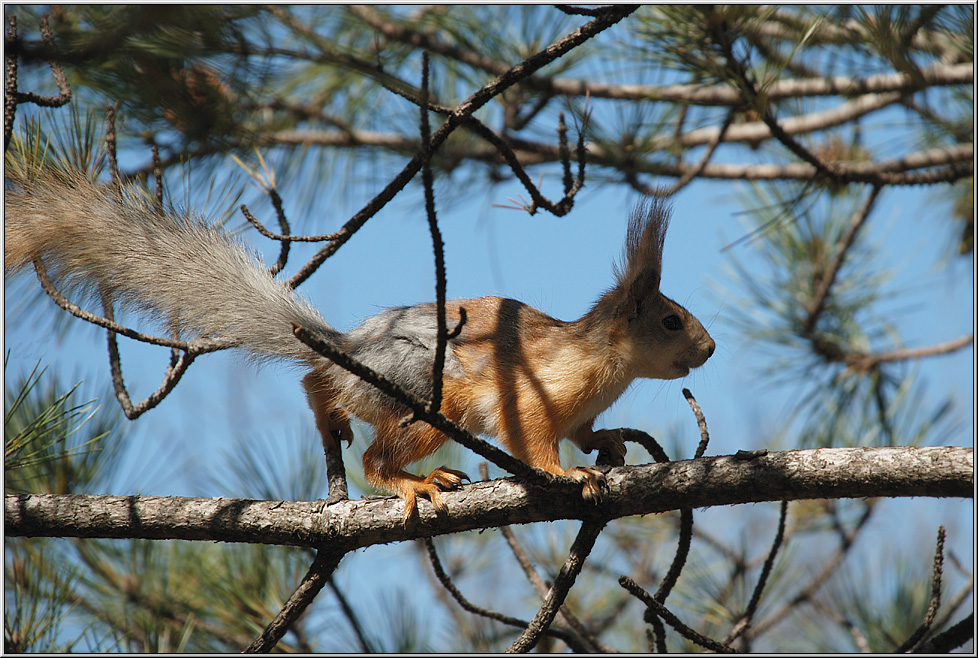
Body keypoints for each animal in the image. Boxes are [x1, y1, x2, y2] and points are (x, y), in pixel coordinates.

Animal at [3, 168, 712, 516]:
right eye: (670, 321)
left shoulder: (582, 406)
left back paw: (334, 418)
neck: (605, 365)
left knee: (315, 383)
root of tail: (352, 351)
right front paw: (565, 472)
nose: (709, 351)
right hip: (433, 397)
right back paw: (412, 483)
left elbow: (587, 429)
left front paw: (608, 443)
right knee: (375, 458)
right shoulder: (533, 391)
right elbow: (534, 437)